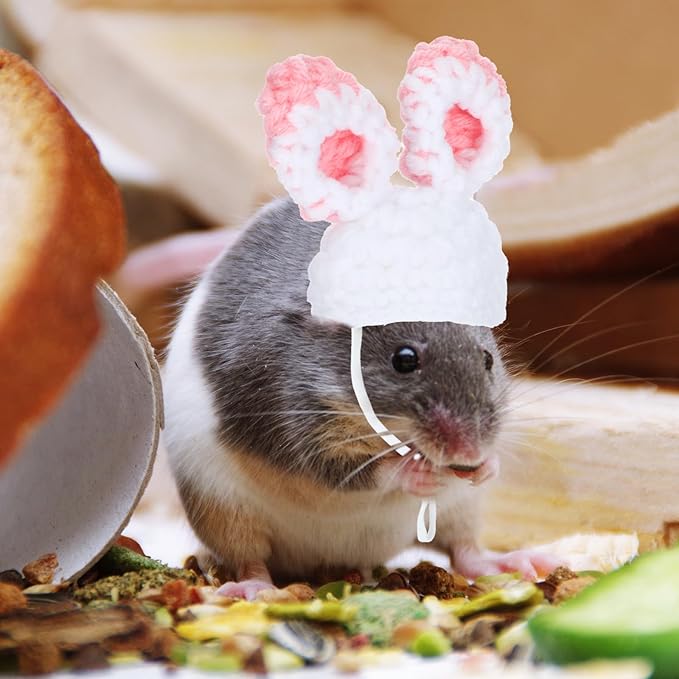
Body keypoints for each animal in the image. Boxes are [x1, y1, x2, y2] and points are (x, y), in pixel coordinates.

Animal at [163, 198, 558, 598]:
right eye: (404, 360)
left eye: (488, 359)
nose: (469, 457)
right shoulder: (292, 432)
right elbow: (359, 471)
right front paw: (412, 470)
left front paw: (489, 466)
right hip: (223, 510)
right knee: (250, 559)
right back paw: (255, 588)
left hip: (460, 508)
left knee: (464, 551)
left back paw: (511, 561)